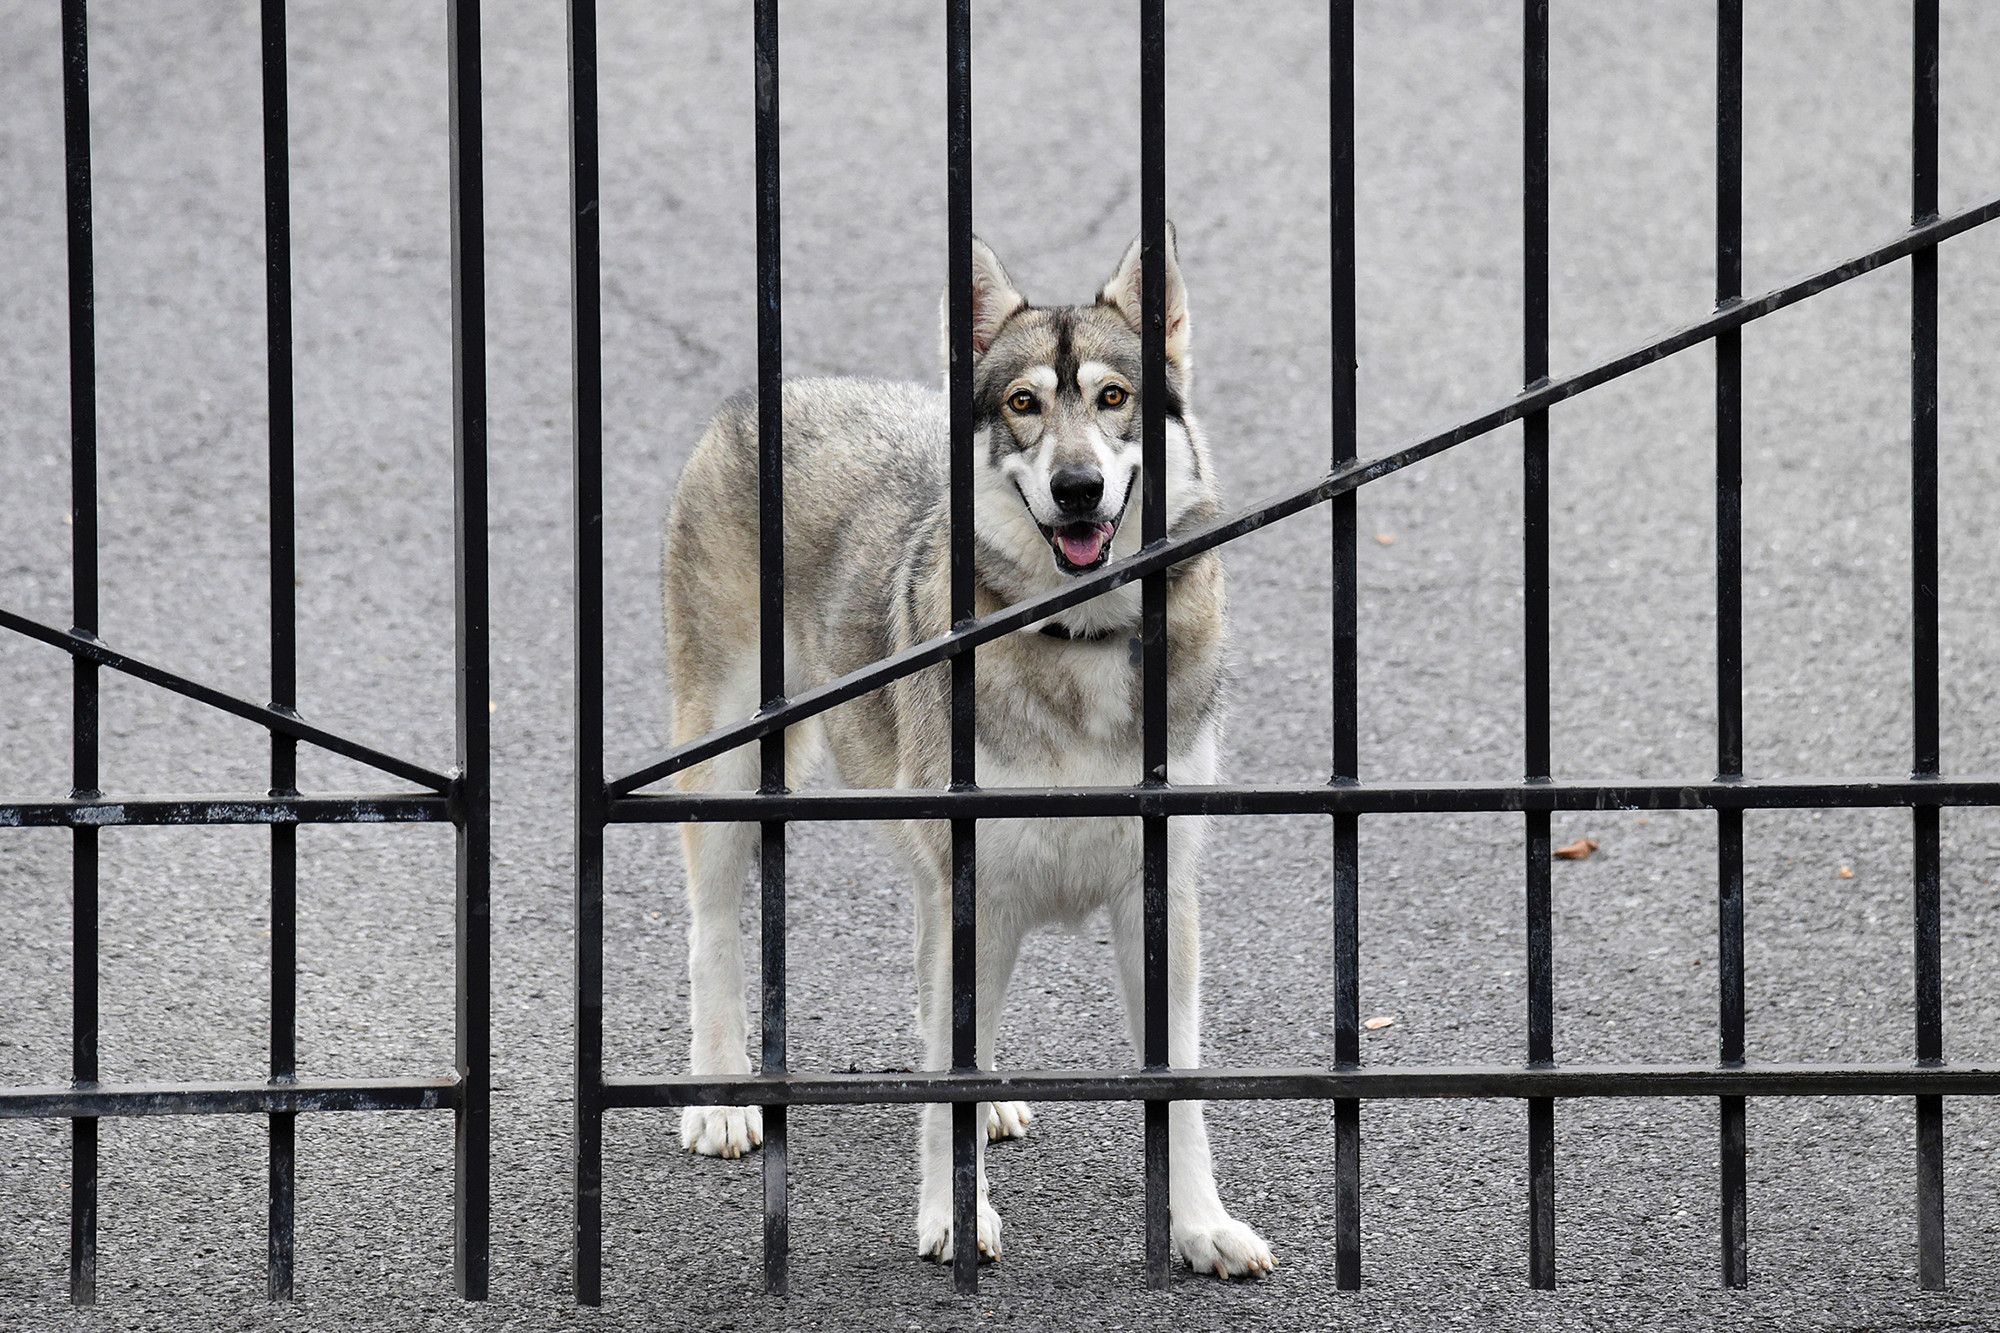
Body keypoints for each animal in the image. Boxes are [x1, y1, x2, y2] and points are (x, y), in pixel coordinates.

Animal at [664, 231, 1272, 1280]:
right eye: (1024, 404)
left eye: (1114, 397)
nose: (1077, 488)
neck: (1080, 645)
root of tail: (771, 396)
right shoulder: (972, 889)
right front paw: (953, 1214)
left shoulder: (1151, 896)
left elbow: (1177, 1082)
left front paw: (1201, 1226)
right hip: (736, 775)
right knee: (712, 933)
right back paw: (723, 1100)